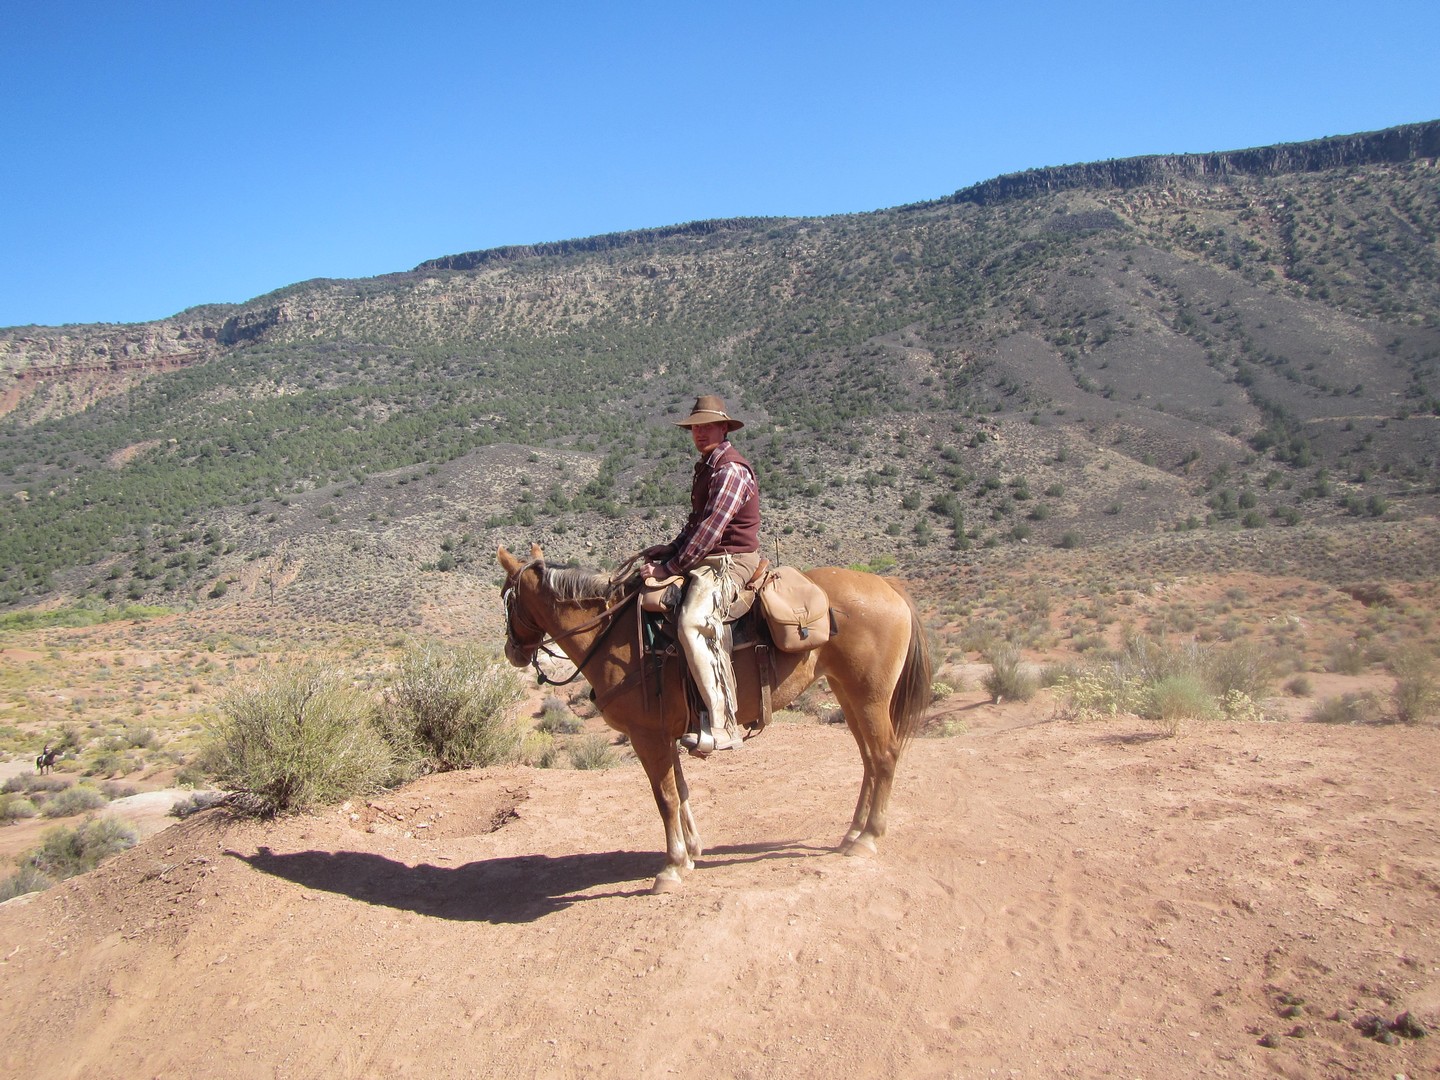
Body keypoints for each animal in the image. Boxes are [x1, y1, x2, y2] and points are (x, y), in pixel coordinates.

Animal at [499, 544, 932, 893]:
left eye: (506, 600)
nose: (512, 653)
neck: (613, 632)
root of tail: (888, 585)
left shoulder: (646, 736)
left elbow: (665, 797)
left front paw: (672, 867)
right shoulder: (663, 732)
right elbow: (680, 790)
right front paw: (691, 852)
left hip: (870, 697)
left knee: (885, 756)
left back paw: (868, 837)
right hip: (849, 694)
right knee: (869, 759)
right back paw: (852, 833)